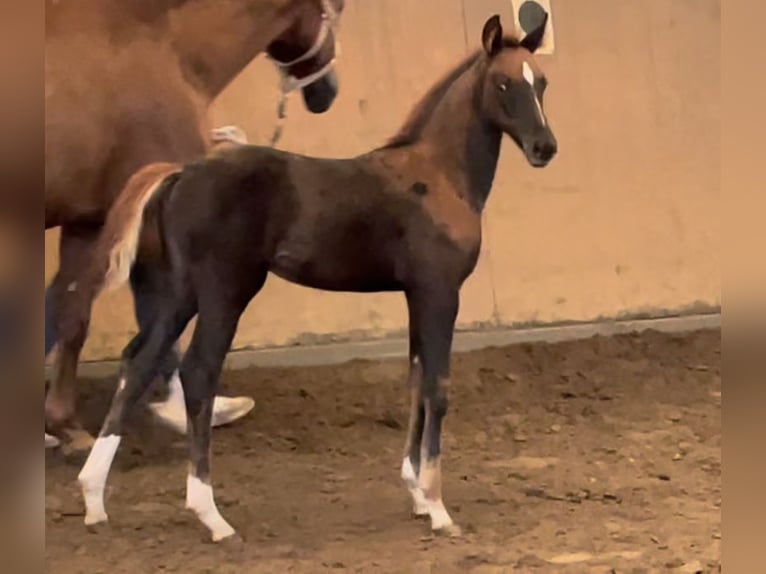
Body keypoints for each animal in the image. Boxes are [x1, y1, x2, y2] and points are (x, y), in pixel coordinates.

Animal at [44, 0, 348, 452]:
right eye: (337, 8)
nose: (327, 92)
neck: (163, 48)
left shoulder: (88, 220)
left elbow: (73, 313)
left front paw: (63, 424)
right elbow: (157, 318)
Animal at [76, 14, 560, 544]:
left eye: (541, 82)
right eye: (504, 83)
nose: (545, 148)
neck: (437, 176)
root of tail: (181, 172)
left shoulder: (415, 295)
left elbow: (415, 379)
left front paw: (415, 493)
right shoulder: (439, 293)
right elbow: (437, 386)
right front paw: (437, 507)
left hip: (179, 294)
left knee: (139, 363)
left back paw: (94, 499)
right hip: (226, 291)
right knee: (199, 370)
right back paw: (211, 516)